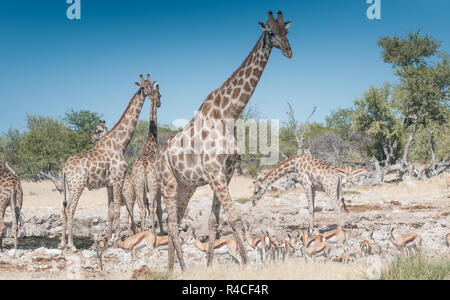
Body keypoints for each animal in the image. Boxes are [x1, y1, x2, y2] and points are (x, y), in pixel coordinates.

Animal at [59, 75, 158, 251]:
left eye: (151, 85)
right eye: (143, 86)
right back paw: (72, 245)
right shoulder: (118, 179)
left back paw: (63, 243)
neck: (120, 142)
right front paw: (117, 241)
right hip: (78, 185)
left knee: (63, 209)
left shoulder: (109, 184)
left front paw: (111, 241)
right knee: (70, 209)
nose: (152, 94)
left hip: (68, 187)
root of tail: (64, 169)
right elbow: (118, 211)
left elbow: (111, 212)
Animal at [158, 11, 296, 270]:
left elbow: (214, 220)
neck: (228, 113)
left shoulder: (226, 173)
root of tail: (160, 155)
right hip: (168, 182)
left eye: (287, 31)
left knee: (177, 220)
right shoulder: (215, 173)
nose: (288, 50)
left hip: (187, 186)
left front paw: (210, 264)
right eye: (270, 32)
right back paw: (181, 268)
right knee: (170, 223)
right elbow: (235, 218)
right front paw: (247, 263)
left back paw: (172, 268)